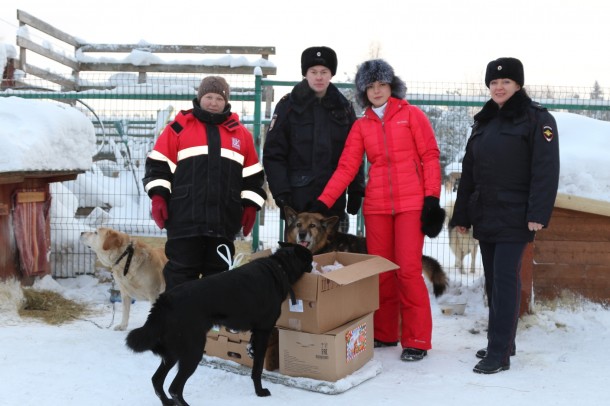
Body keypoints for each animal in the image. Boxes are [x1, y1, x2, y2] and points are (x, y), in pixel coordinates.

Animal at [126, 243, 312, 404]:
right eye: (309, 258)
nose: (313, 264)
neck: (279, 266)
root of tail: (164, 302)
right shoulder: (263, 331)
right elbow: (258, 367)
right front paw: (259, 392)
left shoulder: (256, 333)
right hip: (192, 352)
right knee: (175, 388)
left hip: (172, 354)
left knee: (157, 380)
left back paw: (166, 402)